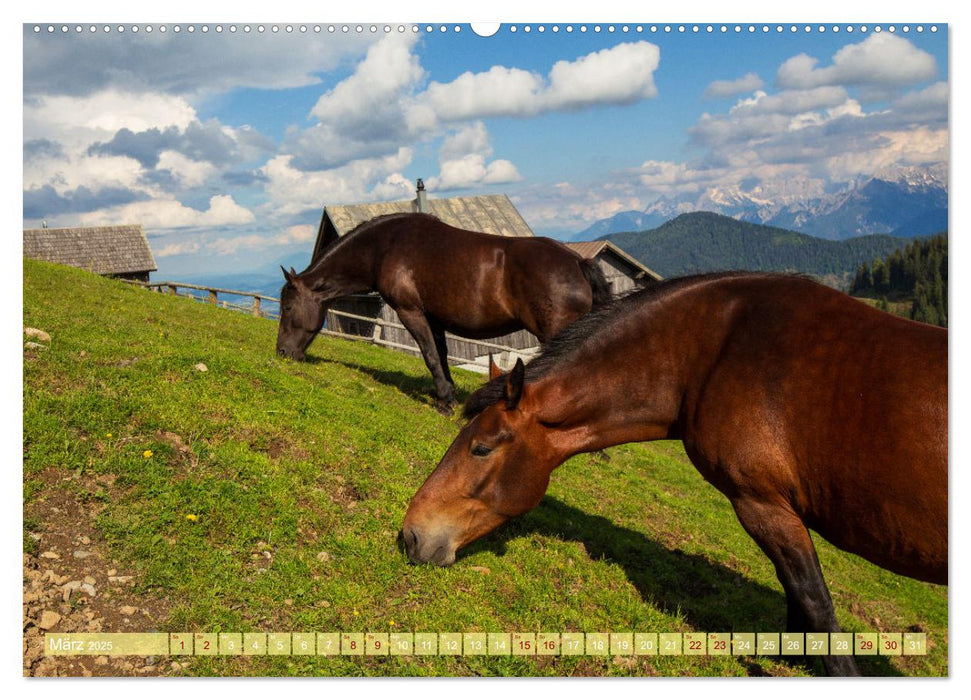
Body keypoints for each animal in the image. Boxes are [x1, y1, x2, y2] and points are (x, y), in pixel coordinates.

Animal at [276, 211, 608, 412]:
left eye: (288, 307)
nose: (282, 352)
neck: (386, 246)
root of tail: (577, 262)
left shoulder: (410, 311)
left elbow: (430, 355)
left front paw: (444, 403)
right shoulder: (434, 317)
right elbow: (443, 354)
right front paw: (449, 394)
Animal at [404, 270, 948, 676]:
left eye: (480, 448)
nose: (410, 535)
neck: (713, 351)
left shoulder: (763, 504)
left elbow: (816, 604)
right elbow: (800, 597)